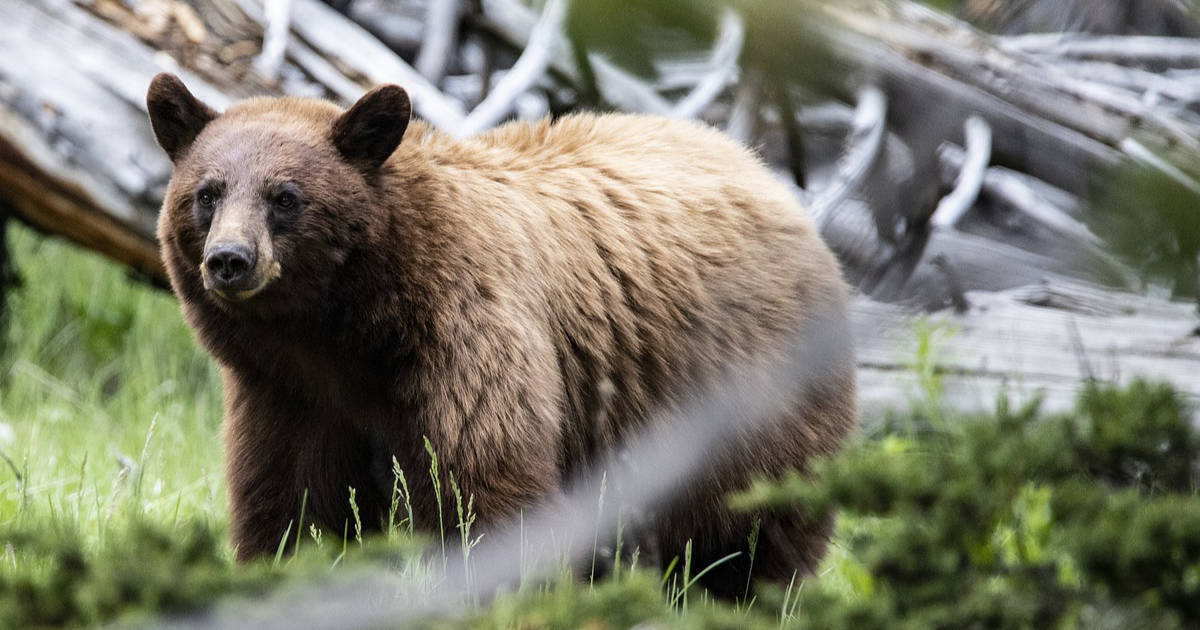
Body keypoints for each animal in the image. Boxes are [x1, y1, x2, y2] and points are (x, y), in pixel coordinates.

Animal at [145, 73, 854, 595]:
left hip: (751, 399)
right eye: (208, 193)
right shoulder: (289, 394)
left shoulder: (466, 331)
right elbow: (292, 506)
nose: (230, 260)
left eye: (285, 196)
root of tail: (768, 178)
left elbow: (486, 483)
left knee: (757, 533)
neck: (347, 332)